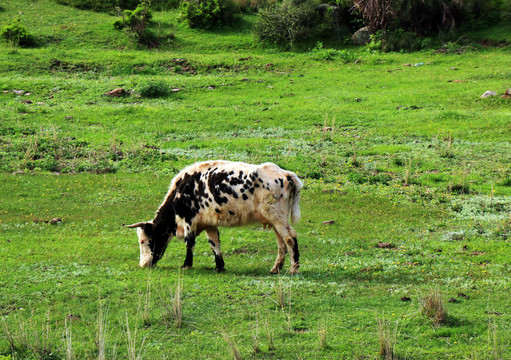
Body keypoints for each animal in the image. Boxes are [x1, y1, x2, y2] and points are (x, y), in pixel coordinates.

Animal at [124, 160, 304, 272]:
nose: (143, 264)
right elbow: (214, 243)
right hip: (275, 220)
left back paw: (293, 268)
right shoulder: (209, 223)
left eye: (143, 241)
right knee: (281, 242)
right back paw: (276, 268)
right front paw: (220, 266)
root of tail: (284, 174)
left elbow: (189, 243)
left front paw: (186, 265)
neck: (181, 192)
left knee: (290, 237)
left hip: (277, 217)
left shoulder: (189, 221)